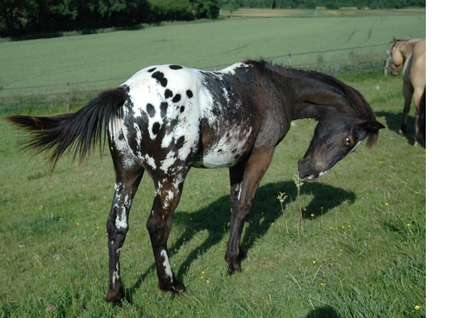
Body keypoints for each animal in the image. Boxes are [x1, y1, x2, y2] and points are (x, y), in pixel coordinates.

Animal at [5, 59, 384, 304]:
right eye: (349, 141)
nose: (307, 171)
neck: (272, 87)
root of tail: (124, 93)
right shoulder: (260, 155)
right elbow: (244, 205)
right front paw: (233, 262)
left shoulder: (237, 160)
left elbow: (233, 205)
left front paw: (237, 252)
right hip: (172, 177)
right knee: (157, 225)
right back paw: (171, 286)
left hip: (127, 173)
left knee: (117, 226)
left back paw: (117, 294)